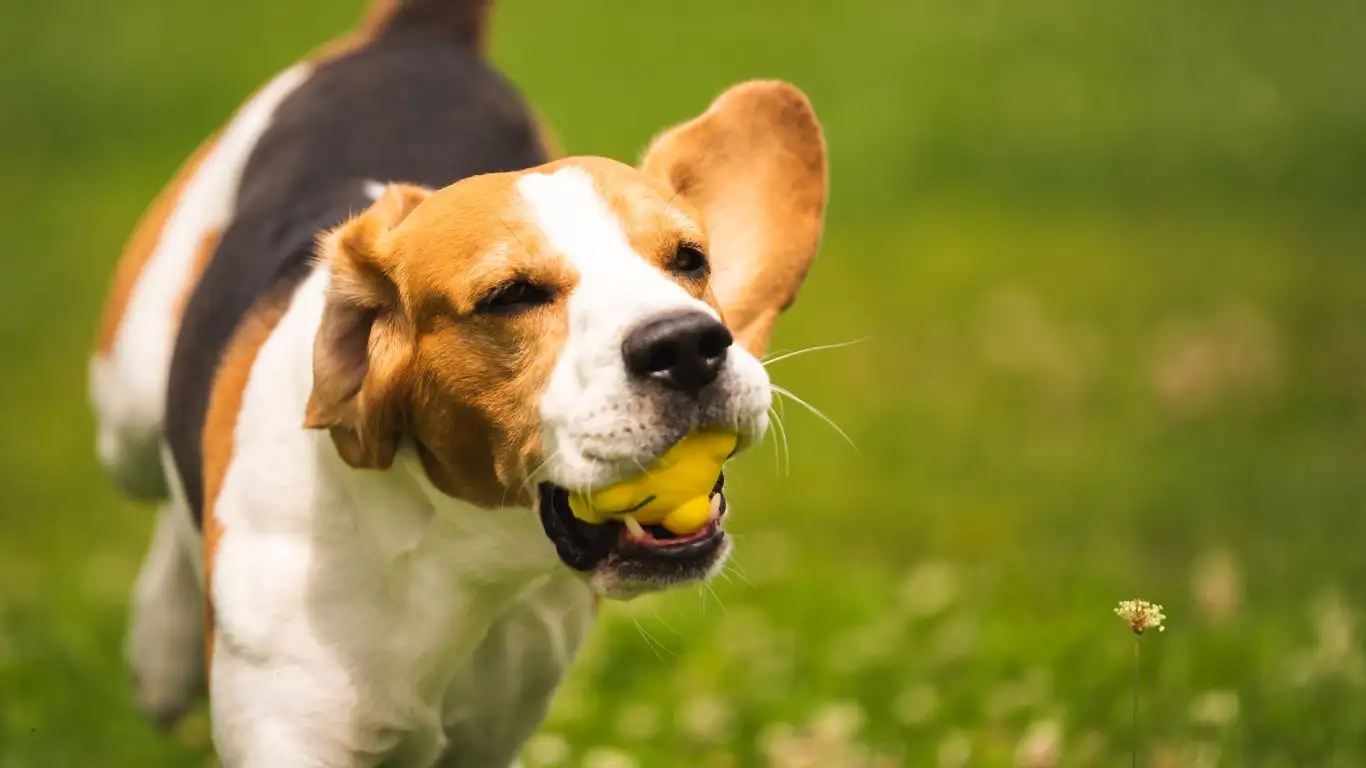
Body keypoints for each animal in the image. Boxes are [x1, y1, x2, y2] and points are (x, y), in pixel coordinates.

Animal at [90, 0, 825, 759]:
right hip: (128, 410)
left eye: (690, 259)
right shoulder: (289, 732)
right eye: (510, 295)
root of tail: (418, 38)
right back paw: (162, 642)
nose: (686, 345)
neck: (460, 549)